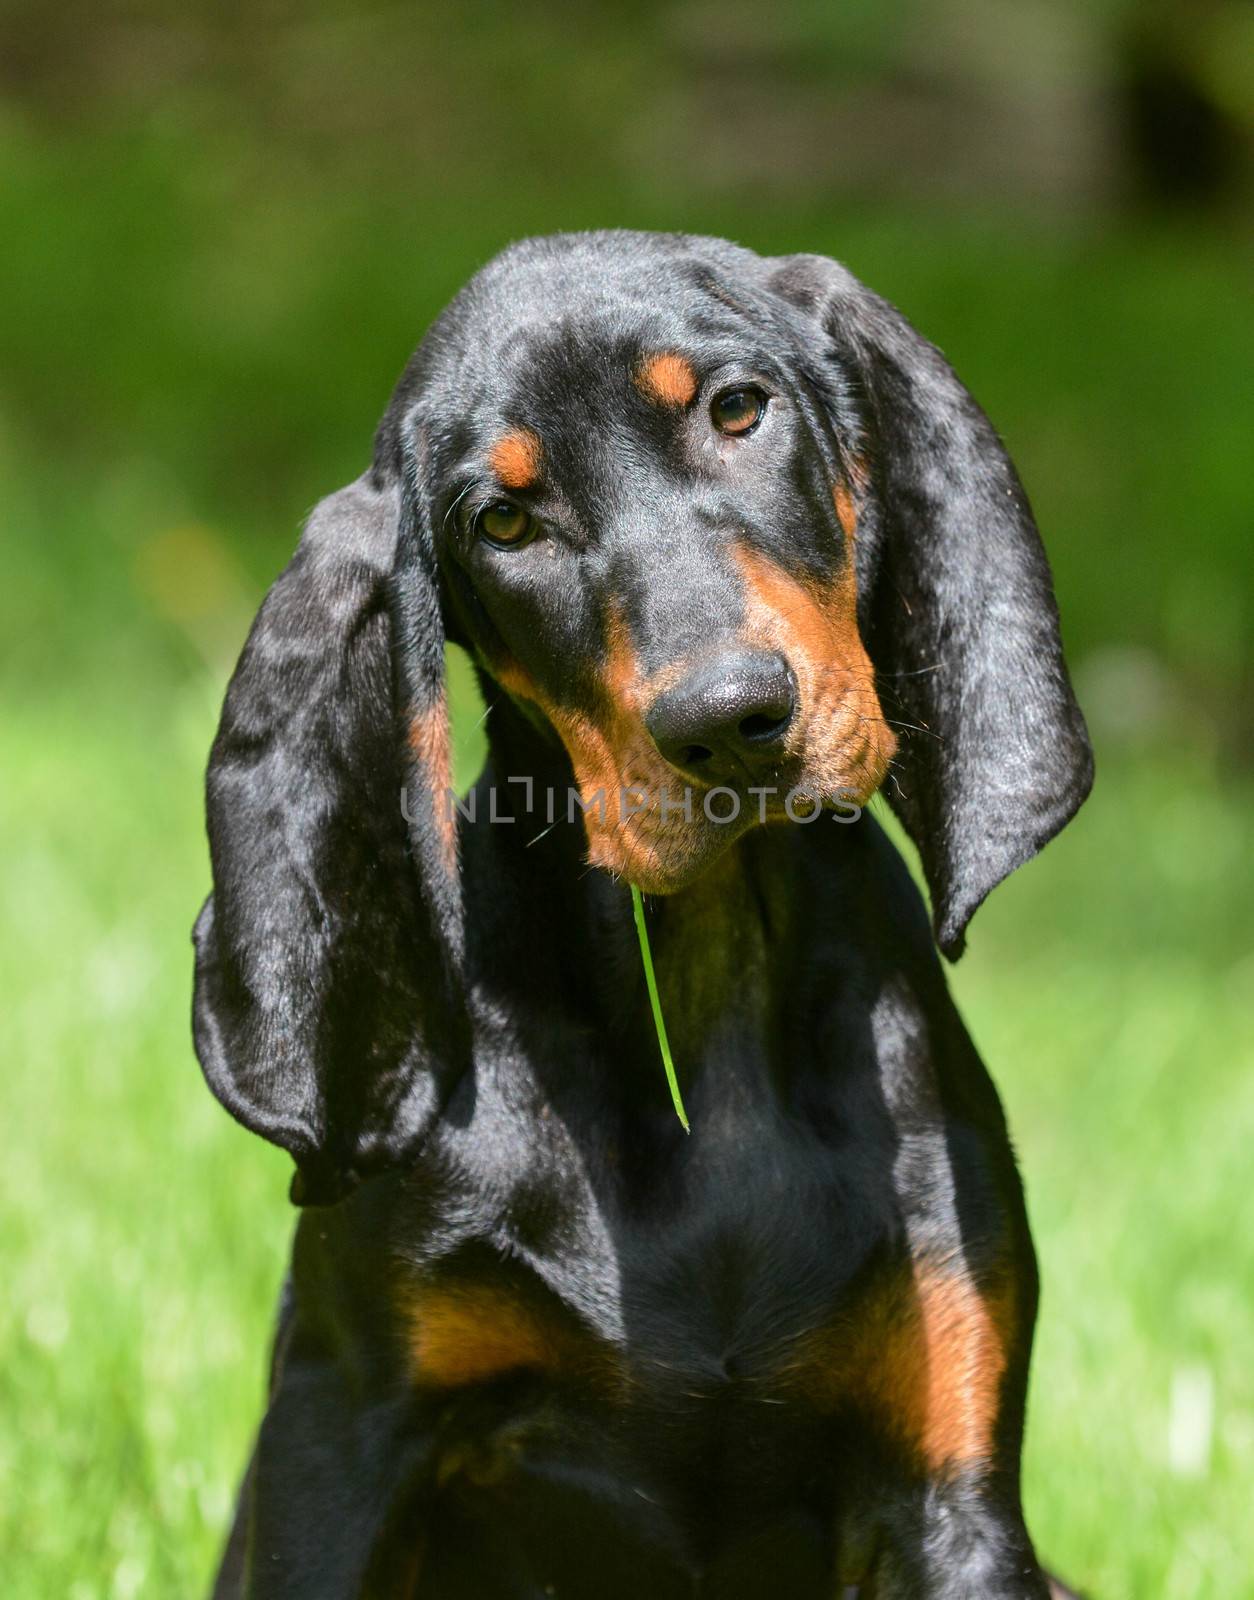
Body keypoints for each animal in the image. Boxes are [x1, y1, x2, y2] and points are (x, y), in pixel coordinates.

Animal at [193, 232, 1087, 1593]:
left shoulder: (950, 1477)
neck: (699, 976)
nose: (729, 722)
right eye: (504, 521)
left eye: (738, 409)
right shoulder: (337, 1435)